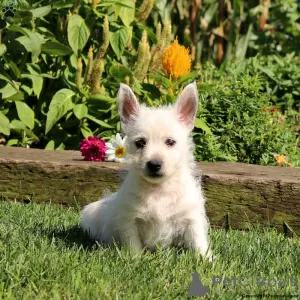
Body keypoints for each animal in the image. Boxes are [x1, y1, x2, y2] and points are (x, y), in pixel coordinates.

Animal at [79, 82, 211, 260]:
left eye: (170, 142)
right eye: (140, 142)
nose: (154, 164)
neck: (159, 190)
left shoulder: (191, 218)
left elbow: (199, 241)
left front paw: (207, 260)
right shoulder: (129, 220)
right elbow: (133, 244)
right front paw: (135, 260)